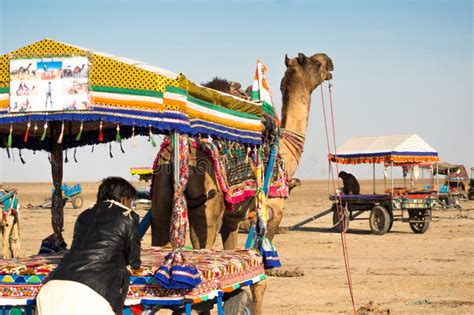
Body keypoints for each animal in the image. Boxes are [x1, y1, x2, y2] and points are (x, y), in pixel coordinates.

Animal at [152, 51, 334, 314]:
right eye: (315, 62)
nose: (329, 60)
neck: (283, 152)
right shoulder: (271, 214)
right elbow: (259, 278)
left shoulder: (233, 218)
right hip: (207, 211)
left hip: (161, 201)